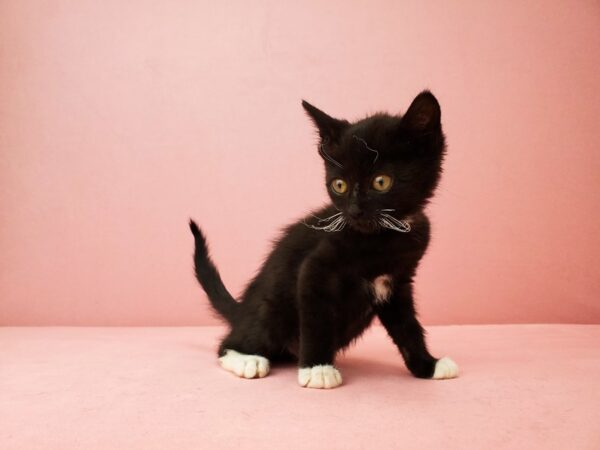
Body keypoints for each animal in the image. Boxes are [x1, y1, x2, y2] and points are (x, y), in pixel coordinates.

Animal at [190, 90, 458, 386]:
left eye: (381, 182)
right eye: (339, 185)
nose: (354, 210)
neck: (383, 237)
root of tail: (241, 311)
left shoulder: (397, 283)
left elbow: (408, 327)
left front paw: (428, 364)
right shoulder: (315, 269)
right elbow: (316, 319)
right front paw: (317, 369)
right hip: (270, 309)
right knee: (229, 343)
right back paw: (248, 359)